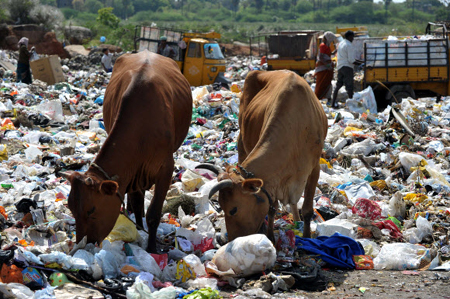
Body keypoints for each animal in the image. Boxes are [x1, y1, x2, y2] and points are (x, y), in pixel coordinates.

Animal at [66, 51, 192, 253]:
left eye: (91, 210)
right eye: (70, 208)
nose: (85, 244)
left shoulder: (166, 168)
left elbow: (154, 213)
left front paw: (152, 249)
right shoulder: (133, 170)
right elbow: (137, 200)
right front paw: (139, 232)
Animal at [207, 71, 326, 244]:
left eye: (233, 209)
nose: (232, 240)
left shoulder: (314, 168)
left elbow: (308, 210)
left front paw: (307, 238)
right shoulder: (272, 181)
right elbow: (272, 209)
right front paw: (270, 237)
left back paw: (297, 220)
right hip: (242, 140)